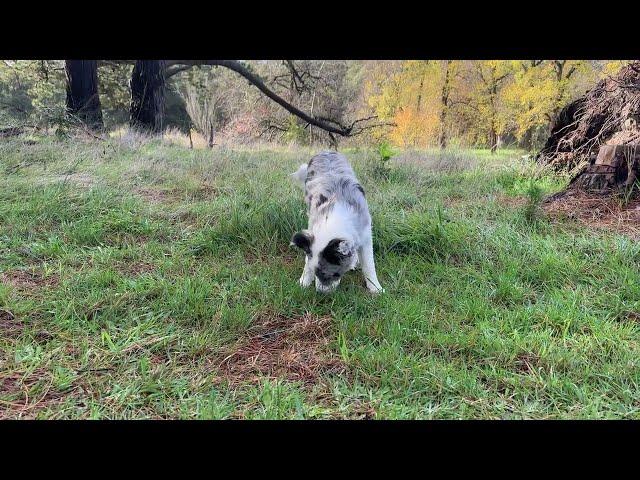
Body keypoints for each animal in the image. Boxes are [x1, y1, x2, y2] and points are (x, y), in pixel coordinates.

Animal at [292, 151, 384, 292]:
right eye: (316, 273)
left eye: (334, 274)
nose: (320, 293)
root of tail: (326, 150)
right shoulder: (312, 226)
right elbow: (308, 262)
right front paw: (303, 283)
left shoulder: (365, 235)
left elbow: (369, 265)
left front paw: (376, 289)